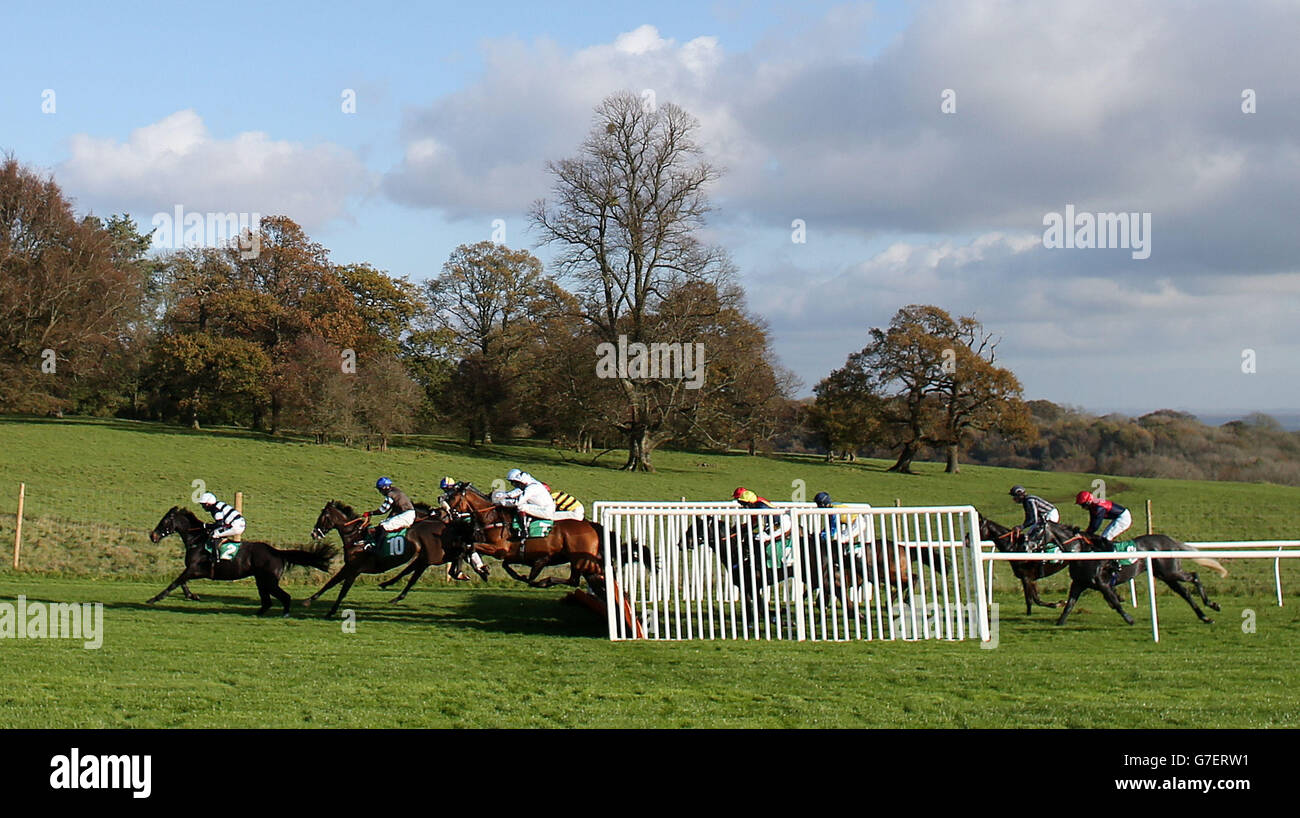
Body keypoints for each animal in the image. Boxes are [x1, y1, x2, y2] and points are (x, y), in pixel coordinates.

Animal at [146, 504, 335, 613]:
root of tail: (277, 551)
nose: (152, 536)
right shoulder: (191, 570)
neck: (197, 540)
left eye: (164, 521)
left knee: (284, 597)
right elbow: (182, 583)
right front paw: (193, 596)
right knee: (267, 601)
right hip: (261, 580)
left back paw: (284, 613)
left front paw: (153, 599)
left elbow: (174, 583)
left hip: (269, 581)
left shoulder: (195, 569)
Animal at [306, 496, 480, 619]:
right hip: (434, 556)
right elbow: (330, 583)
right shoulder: (348, 567)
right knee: (456, 554)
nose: (314, 533)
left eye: (323, 516)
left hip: (433, 556)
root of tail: (445, 526)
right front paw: (310, 600)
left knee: (456, 554)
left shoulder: (354, 569)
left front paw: (330, 611)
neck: (356, 537)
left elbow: (342, 590)